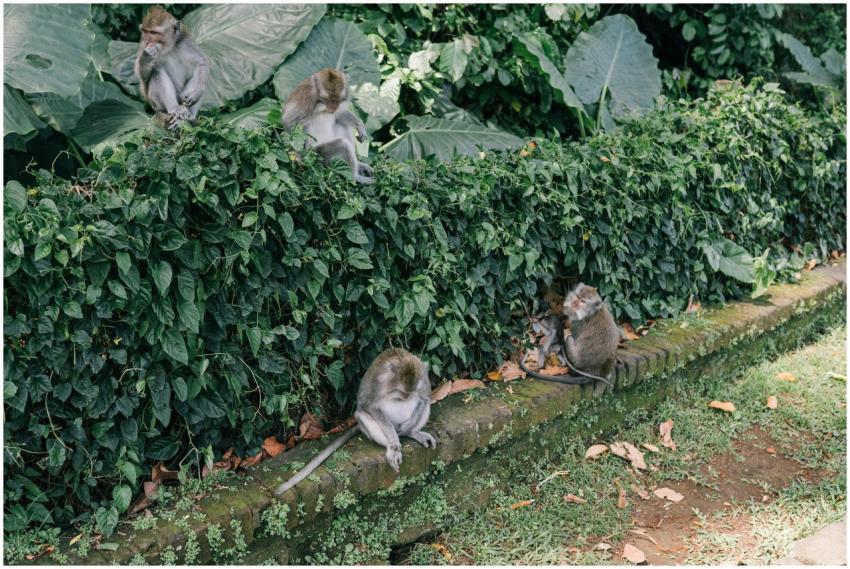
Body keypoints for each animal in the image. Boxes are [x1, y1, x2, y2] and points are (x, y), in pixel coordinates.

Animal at [275, 348, 436, 496]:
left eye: (410, 392)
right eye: (403, 393)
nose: (407, 397)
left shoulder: (423, 378)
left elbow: (424, 398)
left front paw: (409, 425)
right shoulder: (376, 383)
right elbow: (369, 406)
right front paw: (393, 439)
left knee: (425, 404)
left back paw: (412, 432)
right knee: (362, 414)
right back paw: (391, 448)